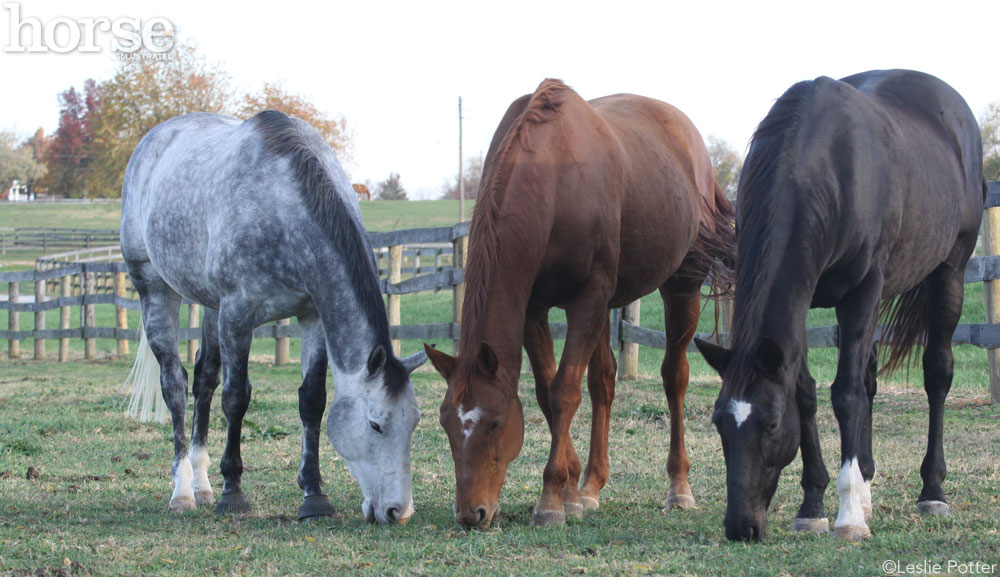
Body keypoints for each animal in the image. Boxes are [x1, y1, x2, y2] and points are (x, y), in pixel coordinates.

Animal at [121, 110, 426, 524]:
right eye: (375, 424)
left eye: (414, 422)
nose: (399, 511)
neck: (285, 208)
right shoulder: (237, 314)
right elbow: (236, 397)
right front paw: (233, 492)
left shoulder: (311, 316)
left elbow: (312, 400)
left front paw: (314, 495)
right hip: (155, 288)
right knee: (175, 386)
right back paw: (183, 489)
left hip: (211, 307)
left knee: (203, 380)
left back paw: (202, 484)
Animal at [422, 79, 736, 528]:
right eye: (445, 422)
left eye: (495, 423)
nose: (471, 513)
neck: (553, 180)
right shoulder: (534, 307)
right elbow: (546, 391)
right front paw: (571, 491)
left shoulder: (587, 297)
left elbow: (564, 391)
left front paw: (552, 500)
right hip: (608, 307)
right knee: (603, 381)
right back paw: (591, 485)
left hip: (681, 287)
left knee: (674, 377)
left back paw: (679, 488)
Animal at [696, 70, 984, 544]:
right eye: (720, 422)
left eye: (771, 424)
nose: (741, 527)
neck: (826, 169)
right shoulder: (804, 299)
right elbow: (808, 393)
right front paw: (813, 504)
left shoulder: (862, 291)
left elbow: (845, 394)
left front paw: (848, 518)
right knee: (869, 379)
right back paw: (866, 484)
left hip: (950, 271)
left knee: (936, 375)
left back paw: (931, 492)